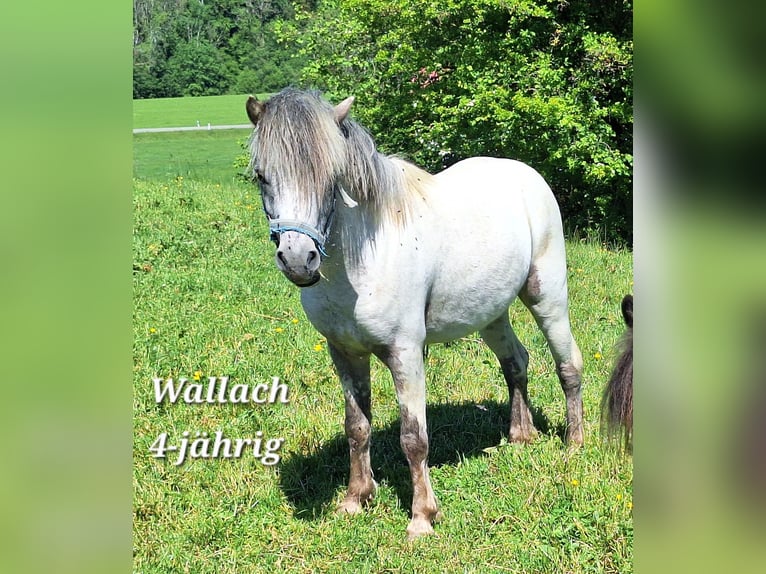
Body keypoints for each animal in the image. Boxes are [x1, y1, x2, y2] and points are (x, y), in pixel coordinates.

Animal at [245, 88, 583, 540]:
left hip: (547, 298)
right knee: (516, 361)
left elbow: (413, 438)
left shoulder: (405, 353)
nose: (299, 260)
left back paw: (574, 444)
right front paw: (355, 500)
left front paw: (422, 518)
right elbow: (357, 427)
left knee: (568, 365)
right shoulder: (345, 353)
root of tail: (525, 174)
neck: (363, 260)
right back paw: (520, 435)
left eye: (332, 177)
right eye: (261, 176)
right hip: (491, 314)